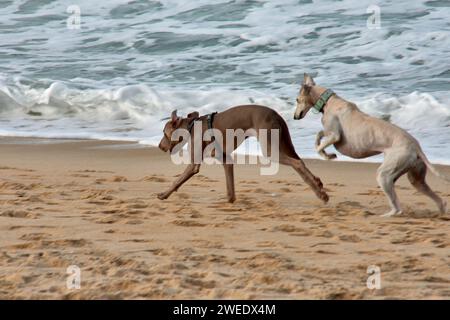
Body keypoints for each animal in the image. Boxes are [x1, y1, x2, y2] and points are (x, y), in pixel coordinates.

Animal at [156, 106, 328, 204]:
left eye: (164, 132)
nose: (159, 146)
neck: (191, 126)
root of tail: (277, 115)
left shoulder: (193, 165)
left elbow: (177, 181)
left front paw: (164, 194)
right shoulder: (226, 159)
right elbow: (230, 187)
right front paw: (230, 200)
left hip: (270, 149)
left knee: (297, 163)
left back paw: (320, 194)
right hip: (283, 144)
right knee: (300, 162)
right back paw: (319, 186)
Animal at [296, 74, 446, 216]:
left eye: (297, 100)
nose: (295, 117)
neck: (329, 101)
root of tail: (416, 146)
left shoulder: (335, 135)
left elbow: (319, 147)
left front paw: (328, 156)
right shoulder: (329, 132)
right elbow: (319, 135)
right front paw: (325, 150)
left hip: (385, 174)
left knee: (397, 208)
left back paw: (386, 215)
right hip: (415, 178)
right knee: (436, 198)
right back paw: (441, 211)